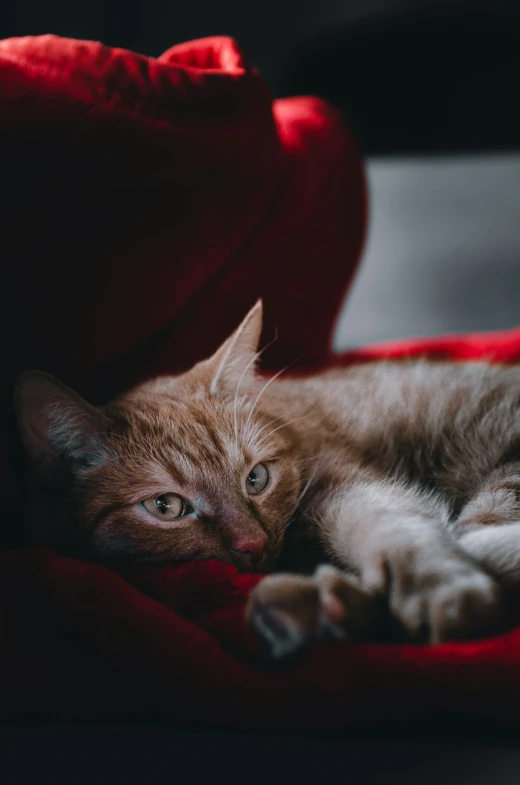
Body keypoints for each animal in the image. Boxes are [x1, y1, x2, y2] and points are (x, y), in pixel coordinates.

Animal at [14, 300, 520, 656]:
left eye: (255, 478)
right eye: (166, 507)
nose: (253, 545)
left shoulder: (351, 487)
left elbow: (393, 527)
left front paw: (441, 587)